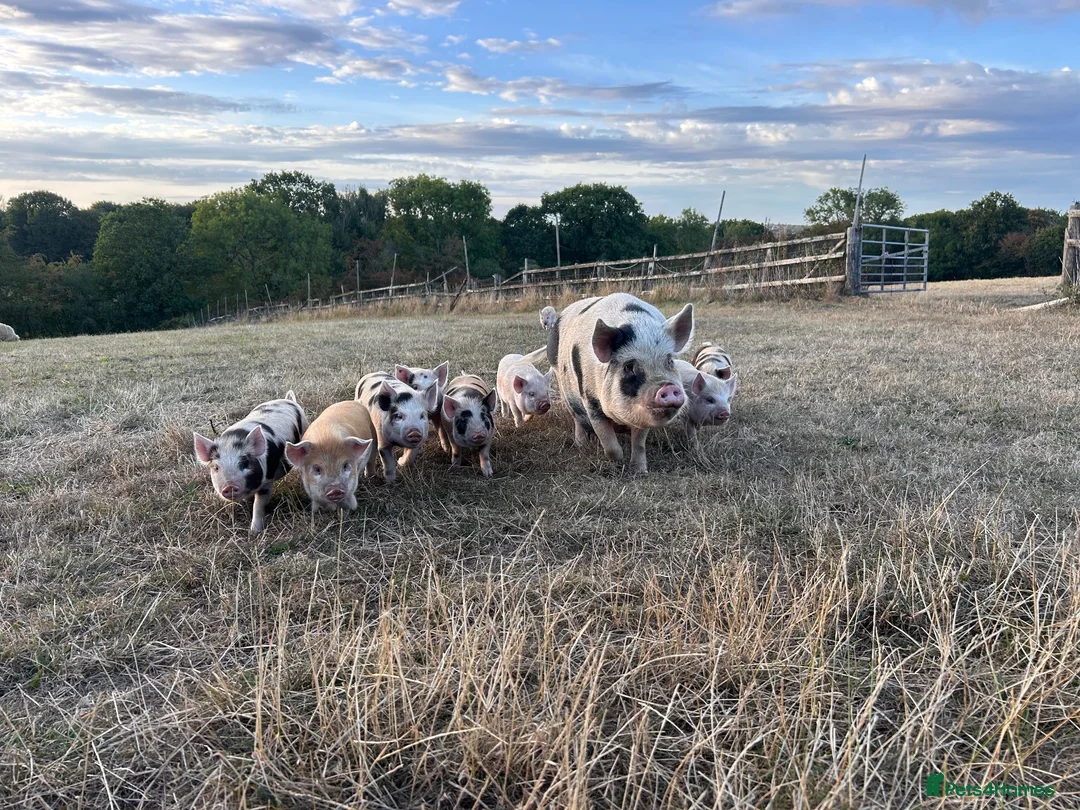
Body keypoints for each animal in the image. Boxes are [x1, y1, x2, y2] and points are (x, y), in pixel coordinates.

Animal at [192, 391, 308, 533]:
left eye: (244, 463)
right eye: (216, 467)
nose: (229, 486)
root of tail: (288, 400)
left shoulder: (267, 481)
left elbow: (258, 504)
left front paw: (254, 532)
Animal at [549, 292, 694, 475]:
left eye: (669, 361)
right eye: (629, 367)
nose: (668, 387)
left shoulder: (643, 416)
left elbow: (639, 444)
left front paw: (640, 471)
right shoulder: (591, 403)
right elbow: (609, 443)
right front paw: (619, 461)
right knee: (577, 420)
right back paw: (580, 445)